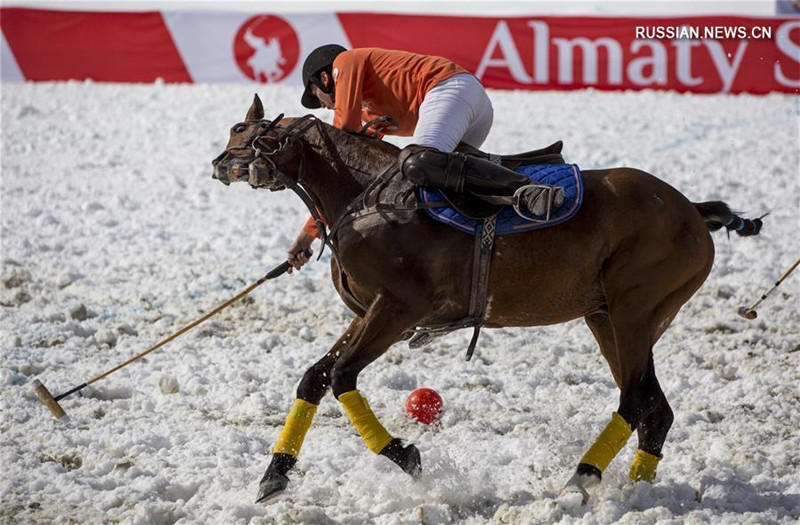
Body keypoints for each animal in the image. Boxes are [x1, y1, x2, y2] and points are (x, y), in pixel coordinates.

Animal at [212, 94, 764, 504]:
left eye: (245, 132)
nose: (218, 165)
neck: (368, 198)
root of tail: (692, 210)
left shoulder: (396, 310)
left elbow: (343, 376)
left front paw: (409, 458)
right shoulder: (372, 311)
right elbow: (315, 376)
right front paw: (274, 475)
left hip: (635, 311)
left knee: (636, 399)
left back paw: (578, 482)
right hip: (607, 316)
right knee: (655, 407)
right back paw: (636, 490)